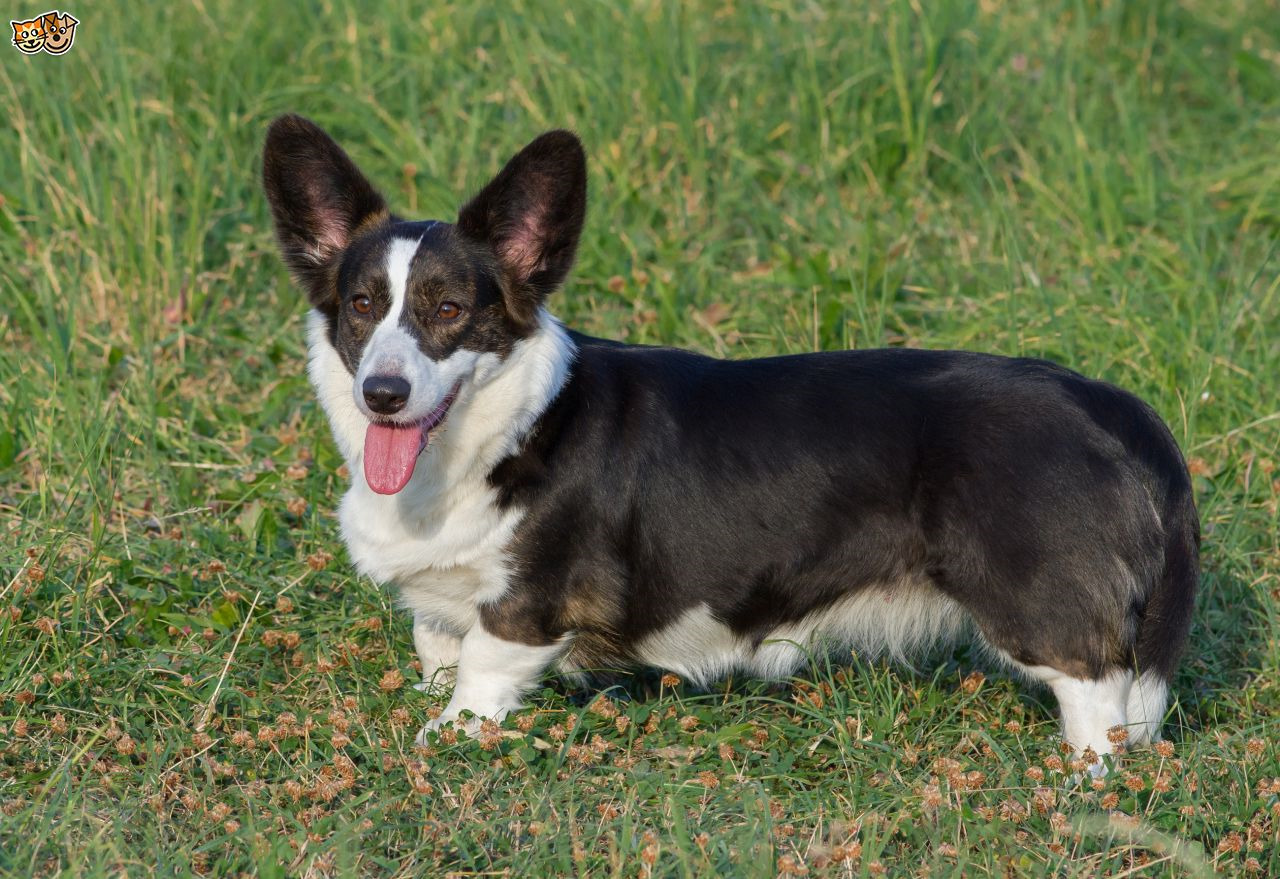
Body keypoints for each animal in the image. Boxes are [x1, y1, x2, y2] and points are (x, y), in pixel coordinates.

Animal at [262, 117, 1198, 767]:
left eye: (450, 309)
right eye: (360, 306)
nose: (382, 394)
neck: (501, 433)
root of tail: (1113, 406)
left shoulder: (526, 607)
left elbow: (478, 679)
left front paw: (443, 740)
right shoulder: (441, 604)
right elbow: (438, 648)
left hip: (1039, 609)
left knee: (1099, 706)